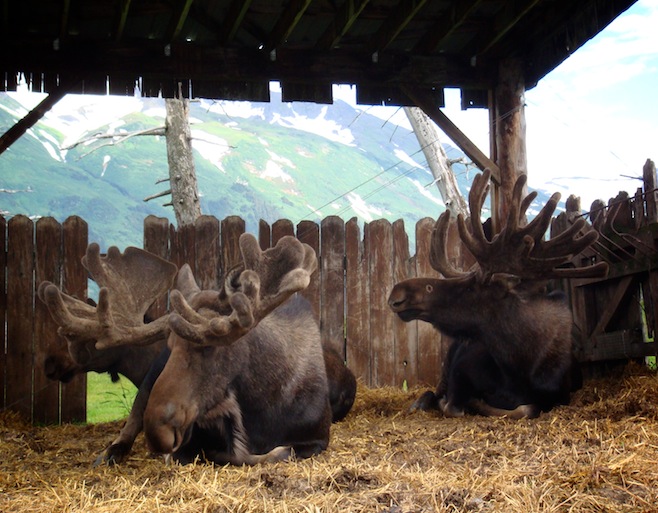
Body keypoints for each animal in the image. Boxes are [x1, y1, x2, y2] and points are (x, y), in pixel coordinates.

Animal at [39, 234, 355, 465]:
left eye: (210, 348)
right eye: (171, 346)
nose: (159, 432)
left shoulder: (316, 438)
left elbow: (271, 453)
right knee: (128, 428)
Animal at [388, 169, 608, 418]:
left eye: (469, 288)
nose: (397, 292)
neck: (519, 364)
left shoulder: (558, 396)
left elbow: (524, 408)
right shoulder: (459, 377)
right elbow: (454, 405)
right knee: (430, 392)